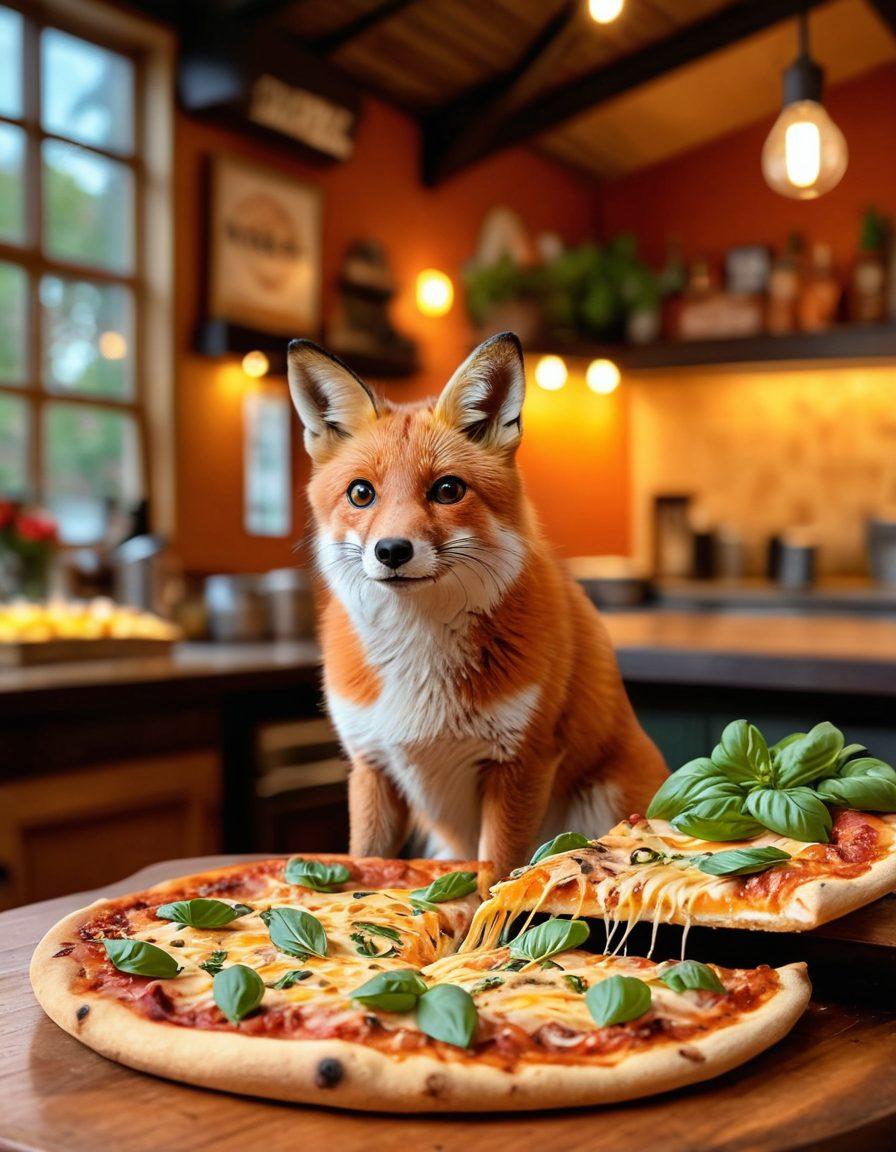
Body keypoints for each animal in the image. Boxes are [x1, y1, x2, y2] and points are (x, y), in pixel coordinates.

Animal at [287, 331, 667, 880]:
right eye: (361, 494)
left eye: (448, 490)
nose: (392, 551)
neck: (419, 656)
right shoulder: (370, 765)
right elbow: (364, 860)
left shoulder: (519, 763)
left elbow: (498, 874)